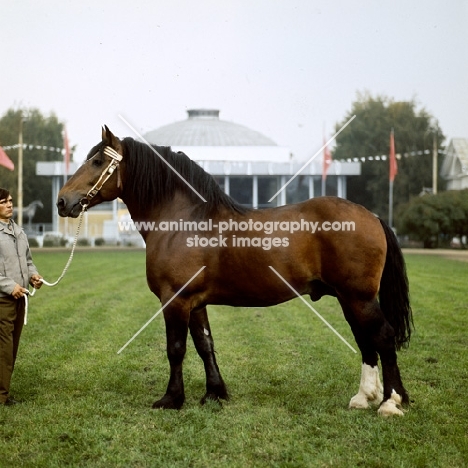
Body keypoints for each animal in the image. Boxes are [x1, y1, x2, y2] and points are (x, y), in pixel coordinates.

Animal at [56, 128, 412, 416]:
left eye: (97, 161)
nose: (62, 201)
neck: (182, 220)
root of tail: (372, 216)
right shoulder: (195, 303)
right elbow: (205, 346)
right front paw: (215, 393)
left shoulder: (175, 300)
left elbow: (176, 349)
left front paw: (171, 399)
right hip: (349, 299)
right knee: (366, 341)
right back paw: (364, 398)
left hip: (358, 298)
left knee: (383, 337)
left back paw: (390, 402)